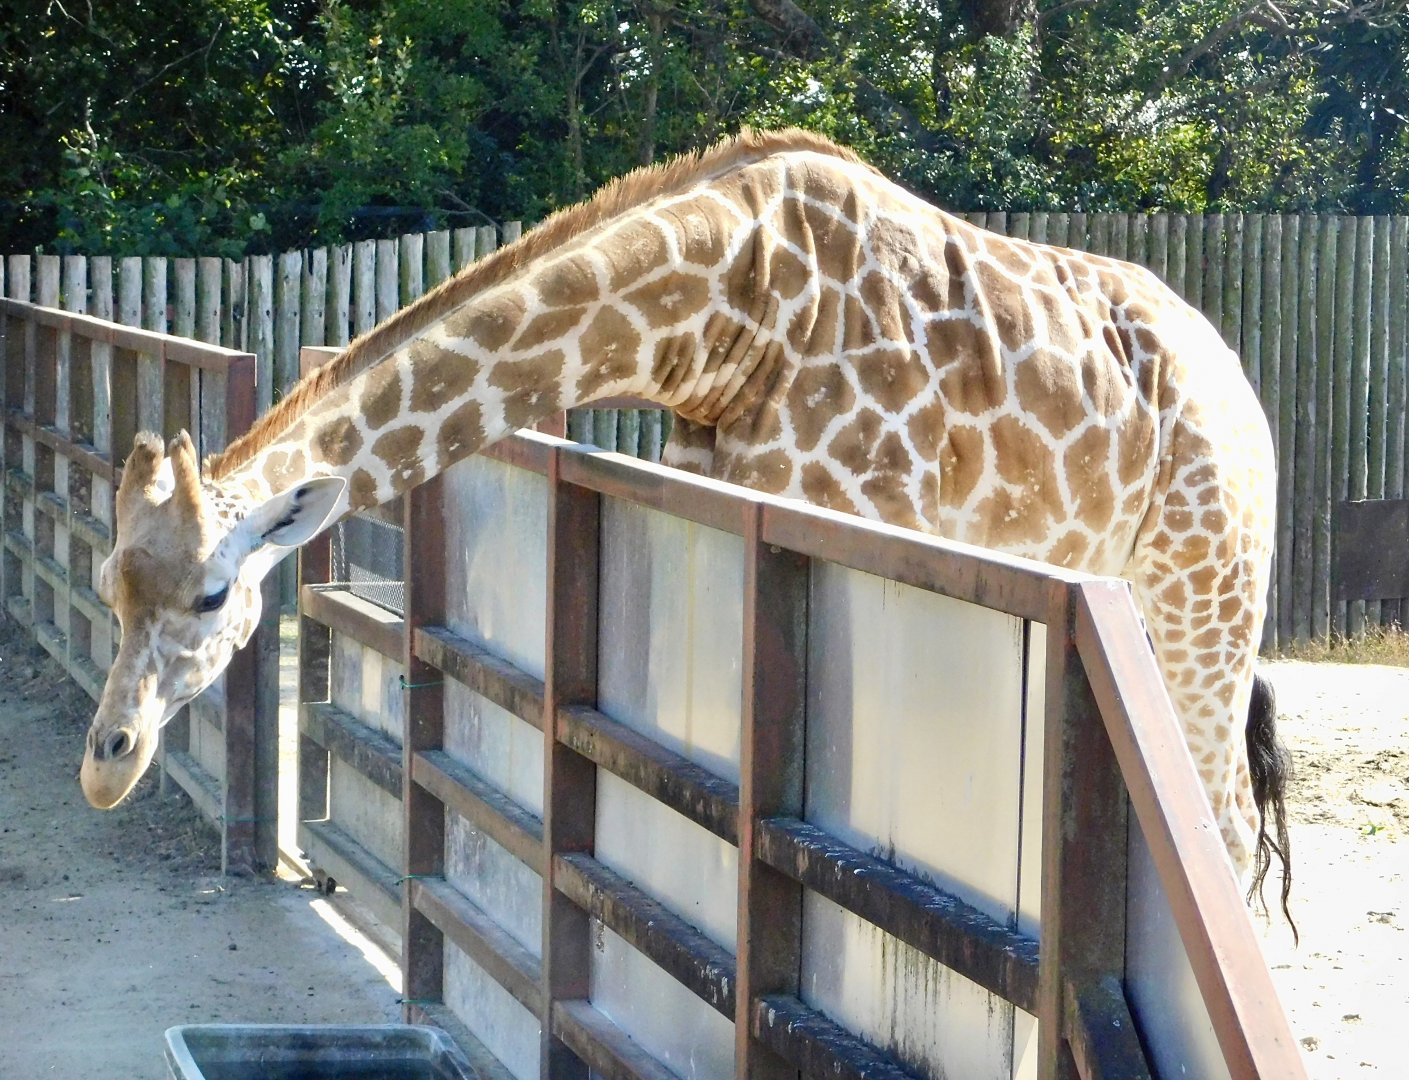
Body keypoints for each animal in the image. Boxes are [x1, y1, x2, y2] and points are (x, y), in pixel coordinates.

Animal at [81, 128, 1288, 903]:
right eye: (106, 583)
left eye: (213, 593)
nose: (107, 764)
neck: (720, 317)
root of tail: (1241, 384)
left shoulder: (844, 525)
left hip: (1203, 594)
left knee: (1226, 823)